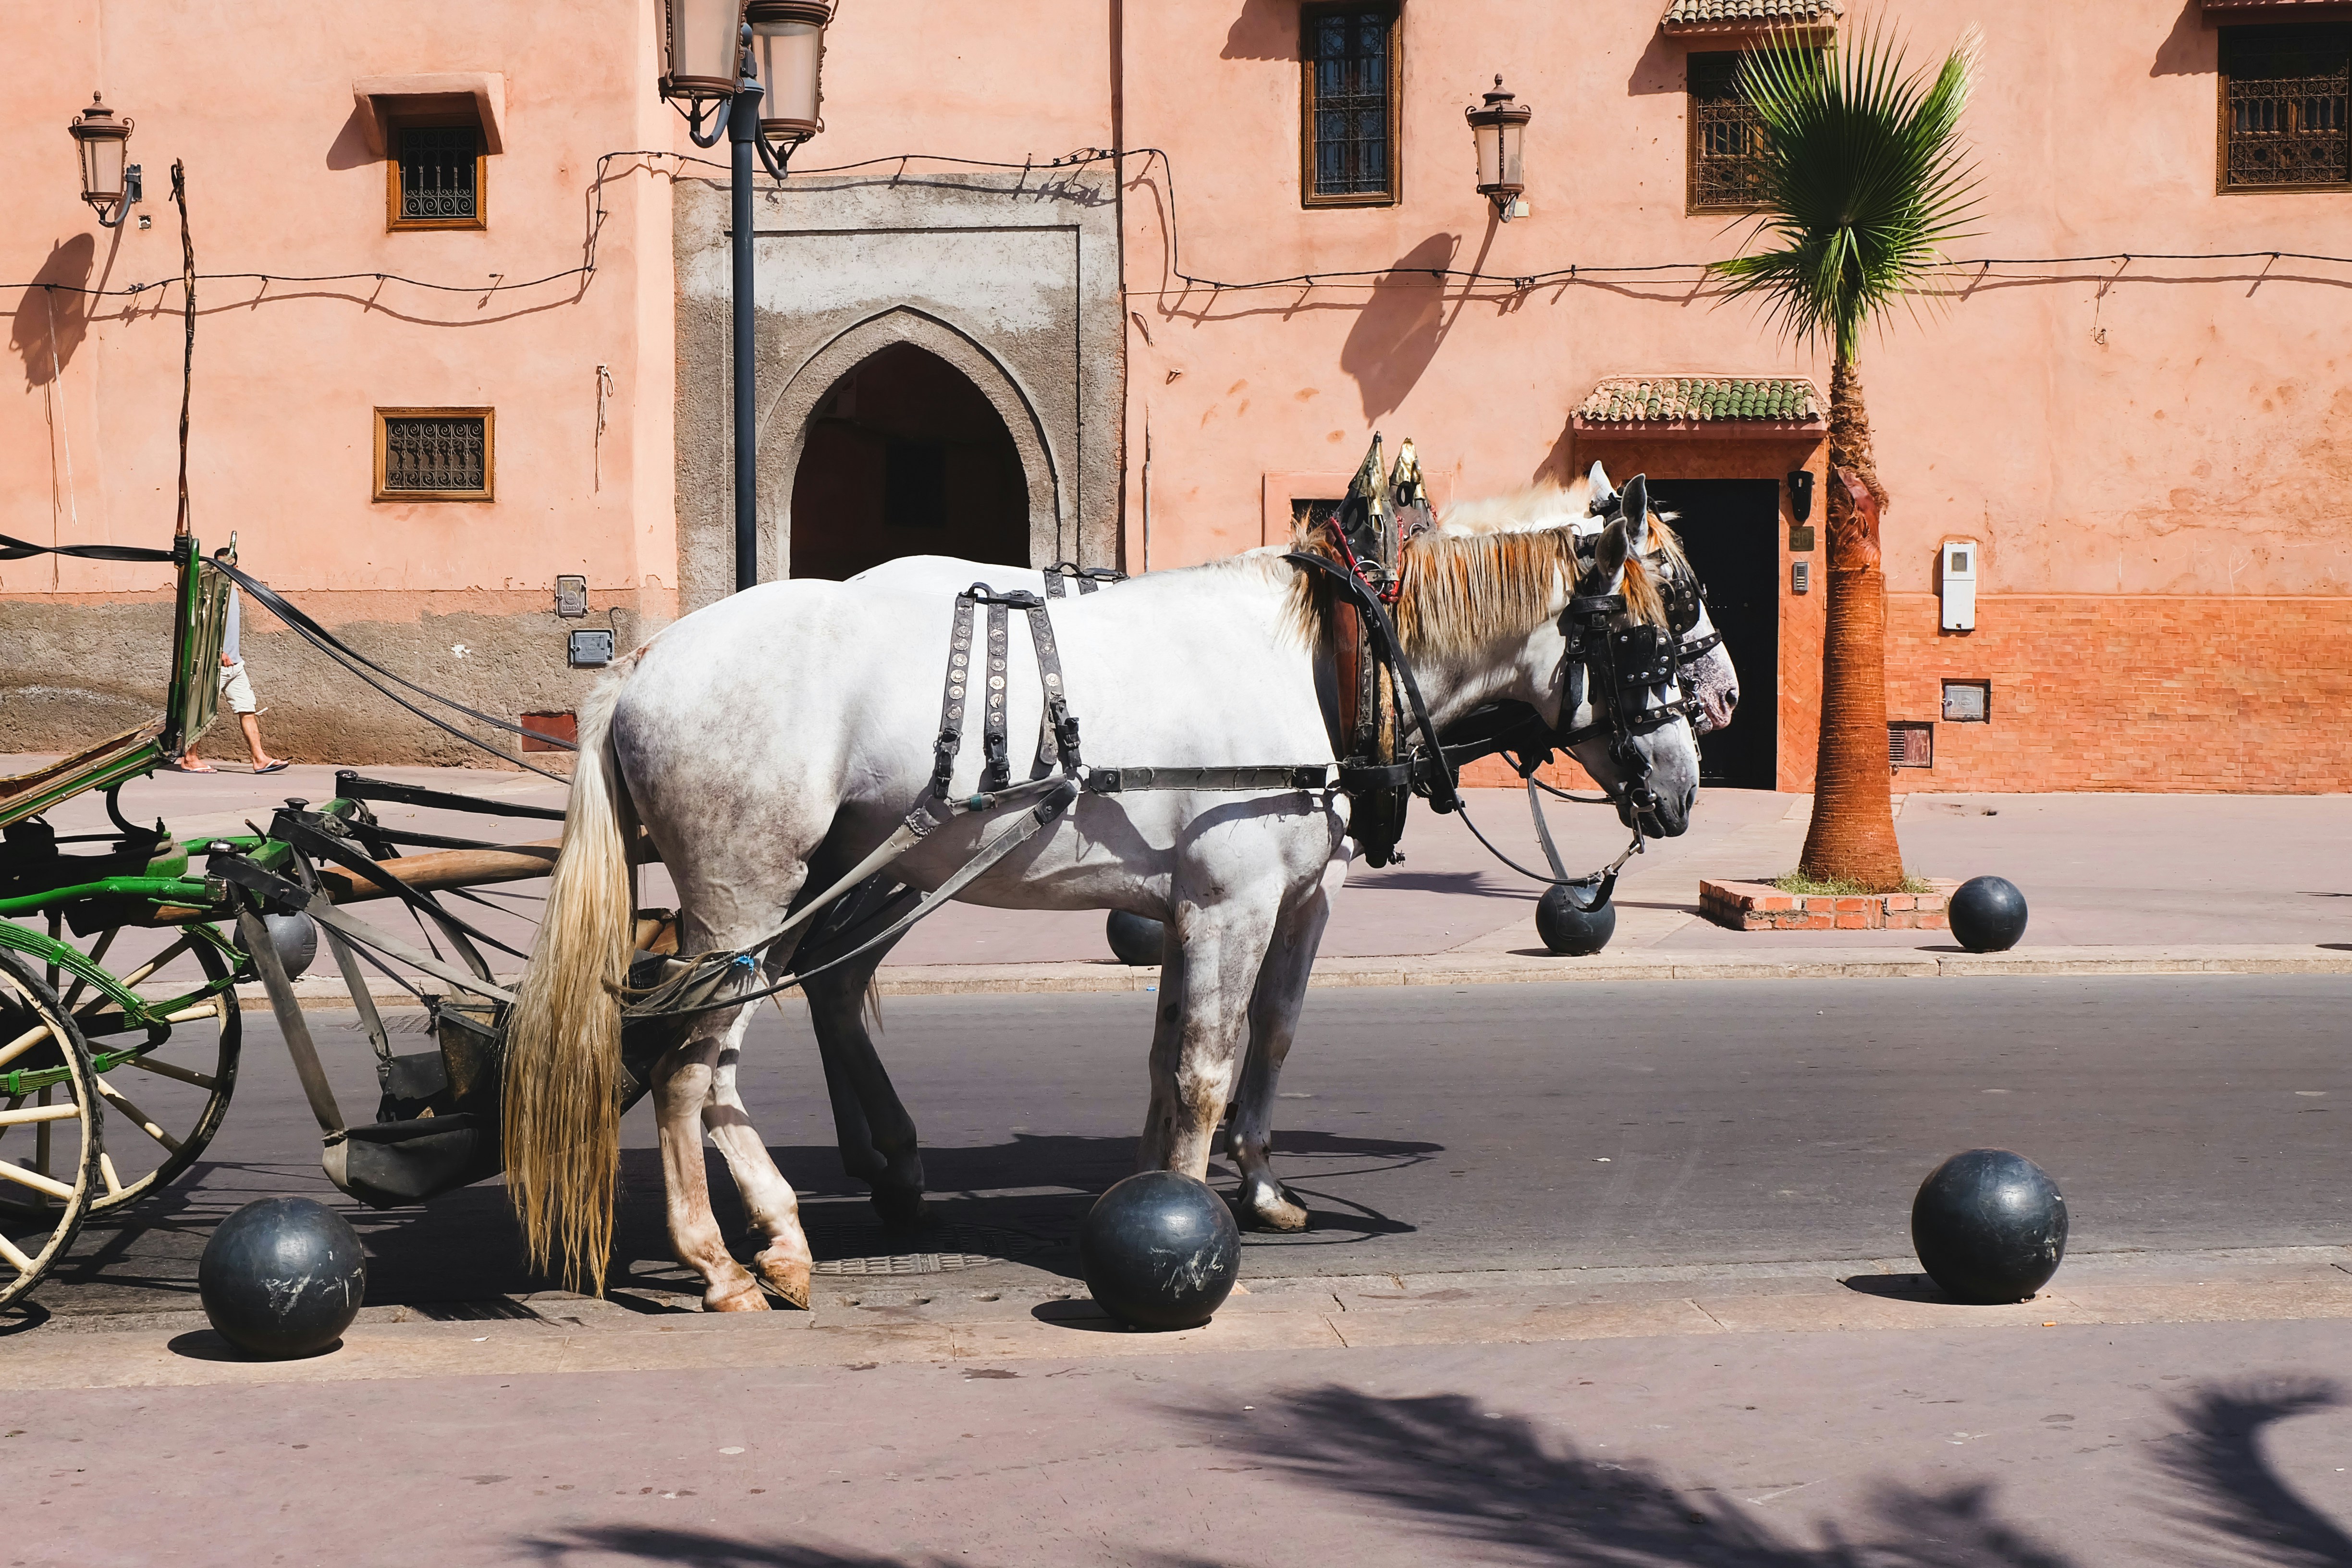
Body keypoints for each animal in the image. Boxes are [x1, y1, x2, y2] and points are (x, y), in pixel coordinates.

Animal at [501, 499, 1703, 1310]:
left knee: (744, 1049)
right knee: (688, 1063)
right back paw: (721, 1259)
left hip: (816, 884)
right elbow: (1210, 1066)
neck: (1326, 659)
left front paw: (1192, 1186)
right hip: (747, 891)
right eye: (1649, 627)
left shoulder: (1225, 906)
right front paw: (1194, 1214)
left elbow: (1208, 1050)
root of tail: (649, 659)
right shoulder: (1233, 902)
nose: (1687, 781)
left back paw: (795, 1226)